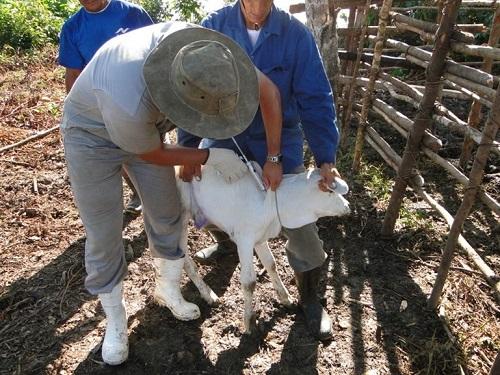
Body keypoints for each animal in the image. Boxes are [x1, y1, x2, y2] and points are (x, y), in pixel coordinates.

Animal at [178, 163, 350, 334]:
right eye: (329, 191)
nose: (347, 206)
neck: (271, 204)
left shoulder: (259, 238)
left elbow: (271, 264)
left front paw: (286, 298)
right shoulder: (244, 239)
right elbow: (249, 282)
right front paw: (249, 322)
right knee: (184, 260)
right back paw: (207, 296)